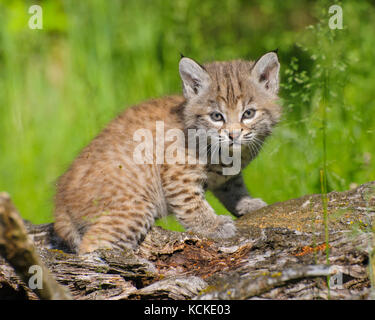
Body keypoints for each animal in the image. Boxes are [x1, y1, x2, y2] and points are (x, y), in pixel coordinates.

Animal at [53, 51, 282, 254]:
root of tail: (60, 201)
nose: (233, 135)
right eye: (216, 116)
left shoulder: (226, 173)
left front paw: (247, 203)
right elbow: (191, 204)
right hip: (135, 206)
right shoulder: (177, 173)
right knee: (93, 243)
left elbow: (233, 185)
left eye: (248, 113)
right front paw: (213, 225)